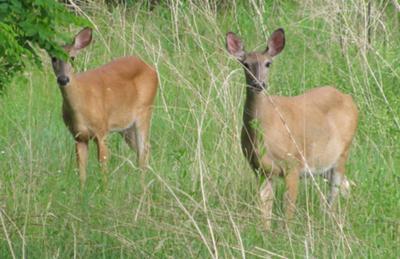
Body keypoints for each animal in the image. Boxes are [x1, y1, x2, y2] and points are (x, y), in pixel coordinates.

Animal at [48, 27, 158, 188]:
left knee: (144, 148)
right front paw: (82, 191)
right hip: (125, 126)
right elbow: (81, 170)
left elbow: (103, 166)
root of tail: (151, 69)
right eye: (53, 58)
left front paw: (105, 190)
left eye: (72, 58)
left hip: (145, 111)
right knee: (143, 149)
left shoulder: (101, 131)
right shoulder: (78, 136)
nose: (63, 79)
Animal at [225, 28, 360, 231]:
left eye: (268, 63)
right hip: (323, 163)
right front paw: (265, 231)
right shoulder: (261, 169)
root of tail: (349, 99)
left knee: (335, 190)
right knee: (345, 184)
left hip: (343, 151)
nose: (259, 84)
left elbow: (288, 204)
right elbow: (265, 202)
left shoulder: (293, 164)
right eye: (246, 64)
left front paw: (286, 232)